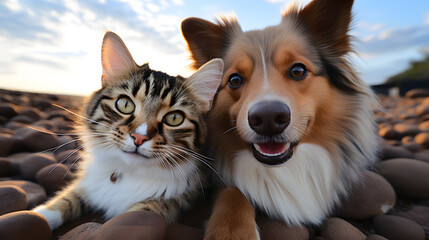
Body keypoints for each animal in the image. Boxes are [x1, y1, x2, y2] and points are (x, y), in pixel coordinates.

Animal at [32, 31, 224, 230]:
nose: (139, 137)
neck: (129, 172)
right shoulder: (89, 184)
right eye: (125, 105)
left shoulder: (162, 205)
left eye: (174, 118)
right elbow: (63, 201)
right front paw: (36, 215)